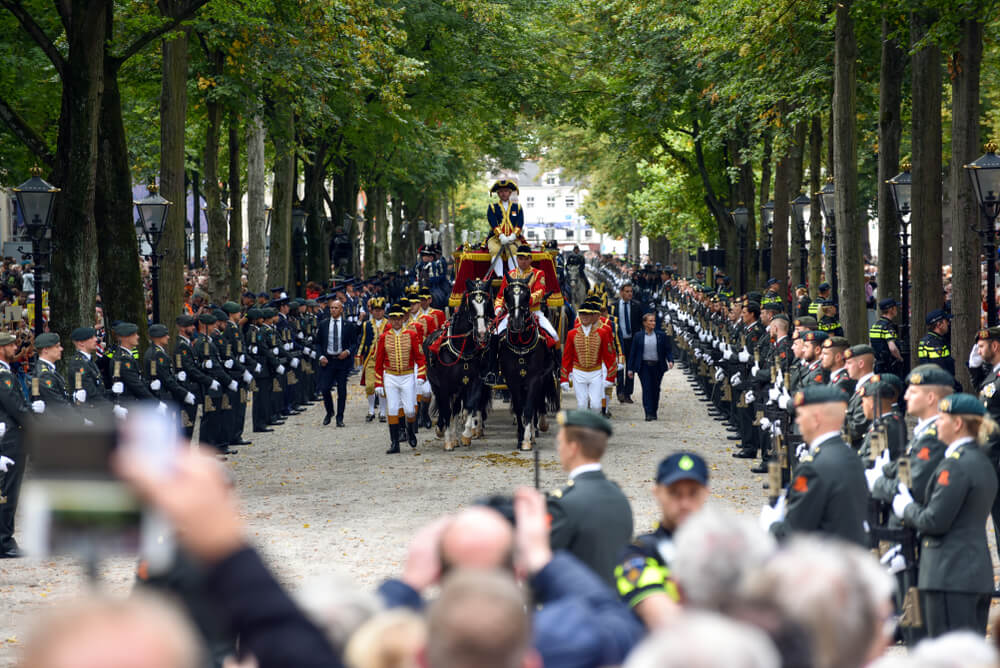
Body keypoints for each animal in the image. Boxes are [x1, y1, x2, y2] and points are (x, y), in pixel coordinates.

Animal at [426, 280, 492, 452]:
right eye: (471, 305)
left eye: (486, 303)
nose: (482, 333)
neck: (462, 350)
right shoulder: (444, 386)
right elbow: (446, 410)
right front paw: (448, 440)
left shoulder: (474, 382)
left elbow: (469, 406)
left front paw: (466, 435)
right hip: (437, 386)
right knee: (445, 408)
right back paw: (444, 432)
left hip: (458, 390)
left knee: (456, 409)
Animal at [496, 276, 560, 454]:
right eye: (508, 294)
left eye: (526, 295)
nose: (517, 322)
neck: (520, 343)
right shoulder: (513, 380)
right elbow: (520, 408)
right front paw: (521, 437)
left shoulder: (534, 378)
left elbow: (530, 407)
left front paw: (526, 439)